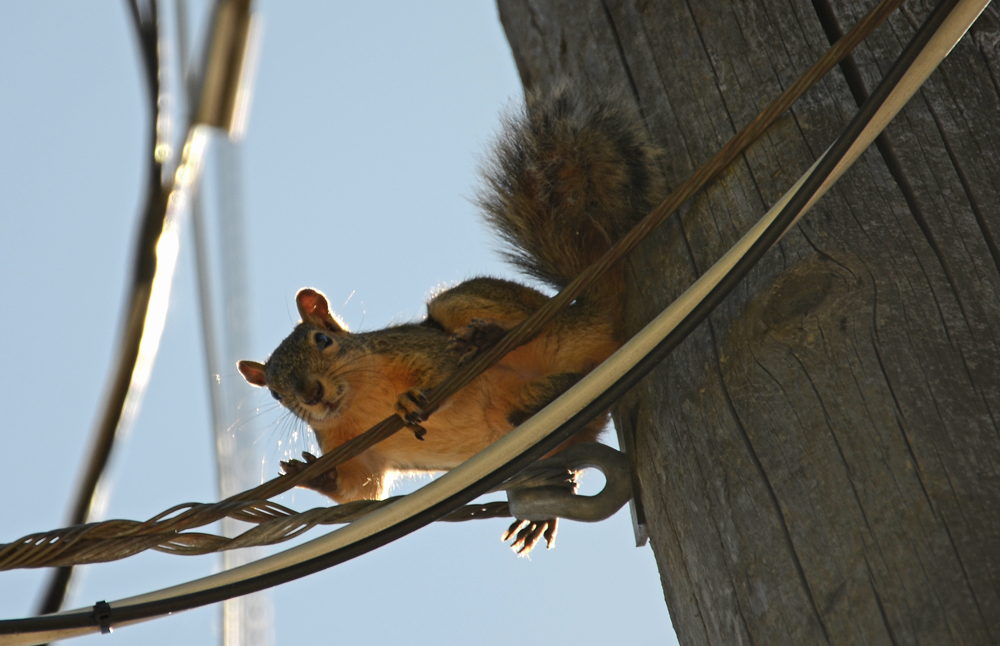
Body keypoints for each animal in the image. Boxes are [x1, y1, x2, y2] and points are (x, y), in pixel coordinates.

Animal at [236, 88, 664, 556]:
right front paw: (309, 472)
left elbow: (438, 370)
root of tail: (594, 320)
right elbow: (359, 487)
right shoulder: (348, 449)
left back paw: (485, 338)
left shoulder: (410, 348)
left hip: (488, 311)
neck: (360, 402)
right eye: (276, 394)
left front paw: (411, 398)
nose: (311, 394)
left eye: (322, 340)